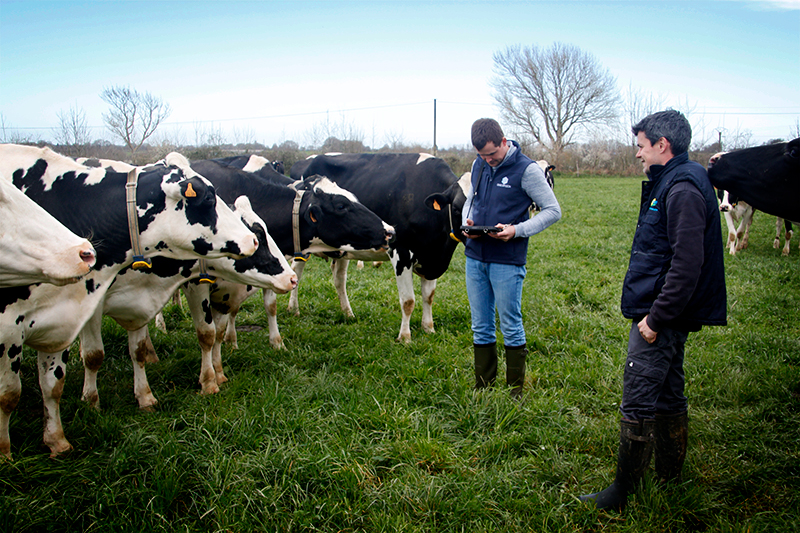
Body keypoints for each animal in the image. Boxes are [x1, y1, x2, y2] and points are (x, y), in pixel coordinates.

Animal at [0, 144, 258, 458]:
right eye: (208, 198)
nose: (252, 240)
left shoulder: (62, 321)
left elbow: (54, 384)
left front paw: (57, 440)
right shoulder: (11, 327)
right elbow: (11, 393)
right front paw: (6, 453)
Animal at [290, 152, 468, 340]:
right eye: (457, 208)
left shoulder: (432, 258)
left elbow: (429, 297)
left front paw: (428, 328)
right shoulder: (401, 253)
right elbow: (408, 301)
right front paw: (405, 337)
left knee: (339, 279)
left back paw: (348, 313)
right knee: (296, 272)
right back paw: (293, 309)